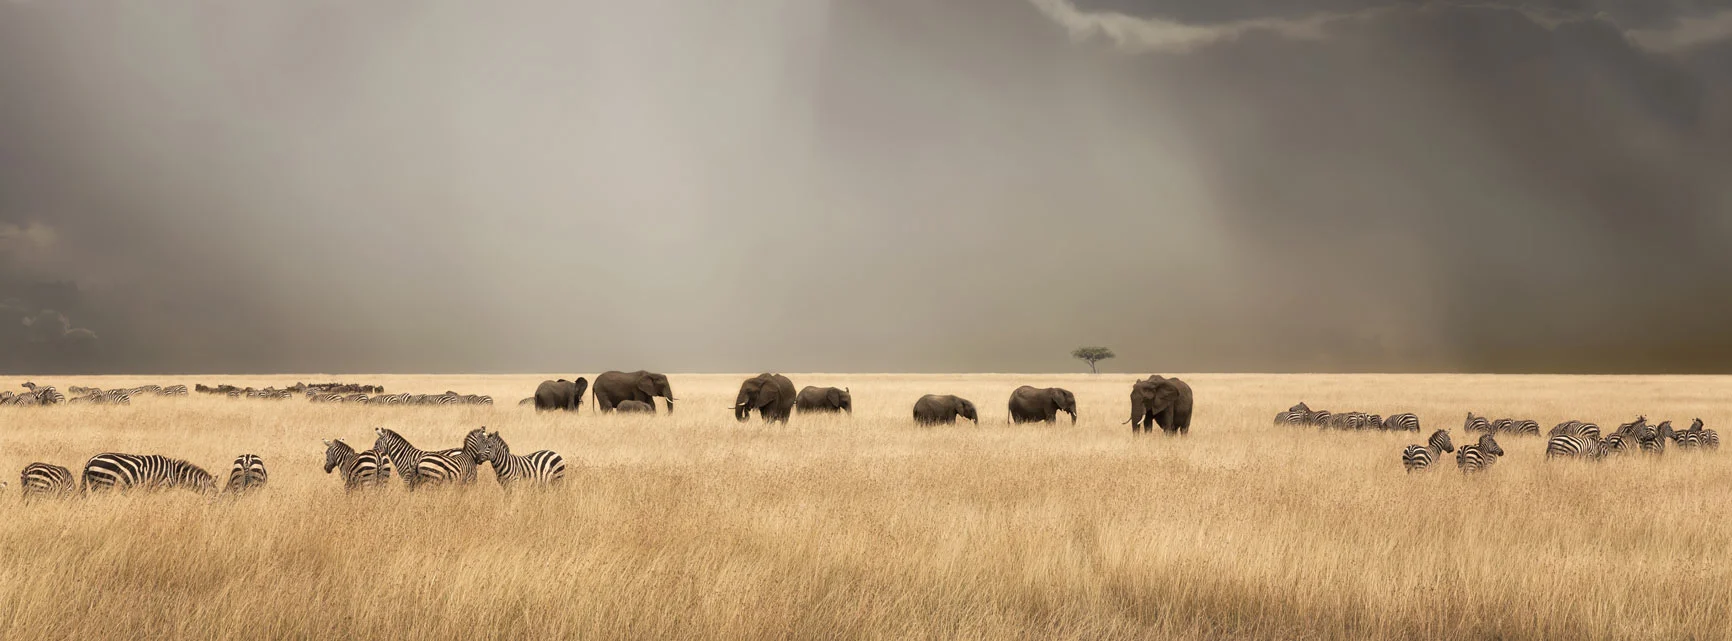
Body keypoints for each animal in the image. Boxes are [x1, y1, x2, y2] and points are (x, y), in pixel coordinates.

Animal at [82, 453, 216, 493]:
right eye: (216, 492)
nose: (218, 505)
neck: (174, 473)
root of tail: (91, 460)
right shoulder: (162, 486)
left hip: (95, 484)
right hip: (104, 483)